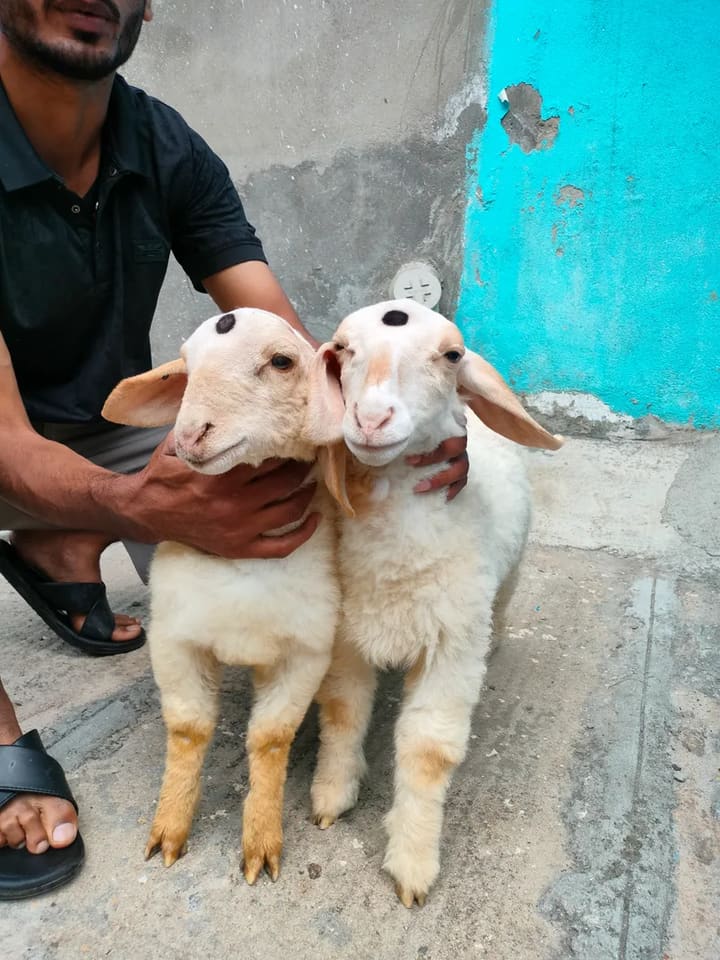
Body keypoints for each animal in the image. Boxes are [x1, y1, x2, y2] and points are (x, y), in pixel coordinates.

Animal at [102, 307, 347, 885]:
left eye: (281, 362)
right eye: (187, 370)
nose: (191, 434)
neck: (244, 569)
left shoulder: (306, 654)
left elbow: (270, 739)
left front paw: (260, 838)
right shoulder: (174, 642)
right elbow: (189, 730)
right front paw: (170, 827)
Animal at [303, 298, 564, 908]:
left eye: (450, 355)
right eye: (342, 350)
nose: (371, 420)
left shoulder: (450, 648)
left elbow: (427, 750)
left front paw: (413, 862)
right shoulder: (347, 636)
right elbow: (342, 712)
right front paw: (332, 794)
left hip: (509, 575)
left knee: (502, 606)